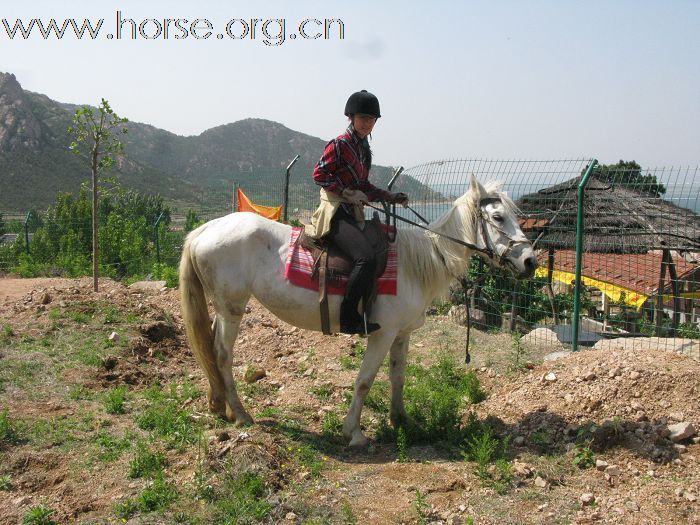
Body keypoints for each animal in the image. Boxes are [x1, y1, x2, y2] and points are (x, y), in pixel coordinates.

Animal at [179, 176, 536, 446]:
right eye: (498, 218)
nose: (531, 262)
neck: (416, 263)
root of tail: (204, 231)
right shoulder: (382, 333)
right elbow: (365, 381)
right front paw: (354, 432)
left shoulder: (401, 334)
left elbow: (397, 377)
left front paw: (401, 420)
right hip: (232, 308)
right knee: (222, 354)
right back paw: (240, 413)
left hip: (223, 309)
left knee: (210, 348)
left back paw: (219, 405)